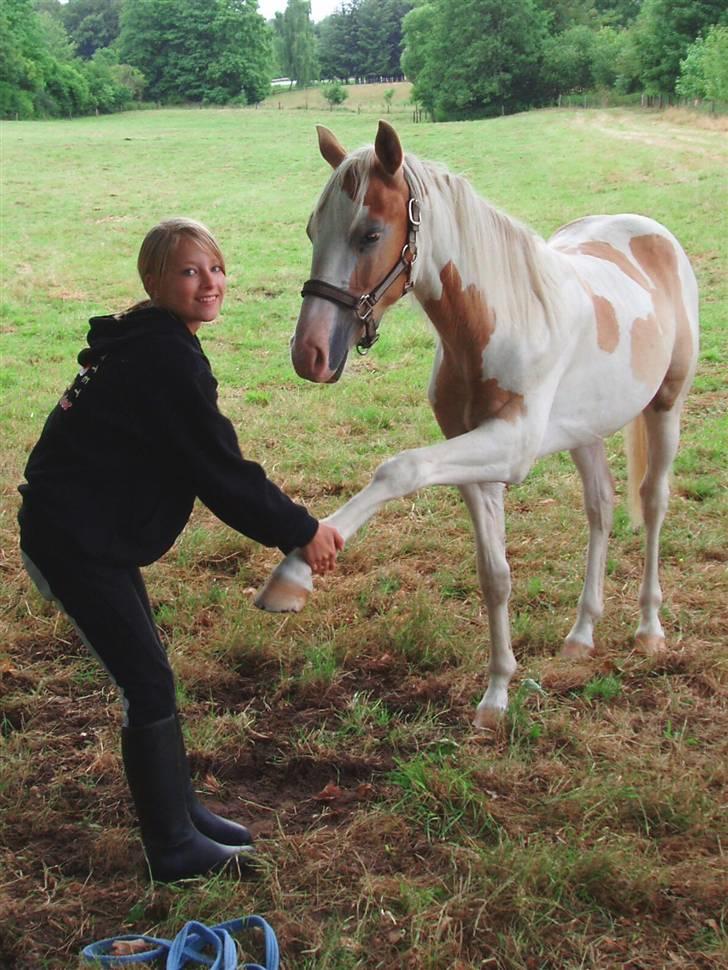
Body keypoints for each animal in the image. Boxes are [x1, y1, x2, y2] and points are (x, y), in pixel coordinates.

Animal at [258, 121, 700, 724]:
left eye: (370, 234)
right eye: (310, 231)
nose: (311, 355)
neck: (501, 321)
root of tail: (653, 234)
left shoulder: (508, 449)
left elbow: (399, 469)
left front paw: (293, 574)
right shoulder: (473, 457)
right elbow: (495, 576)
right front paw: (496, 694)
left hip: (666, 406)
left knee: (653, 503)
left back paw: (649, 628)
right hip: (584, 432)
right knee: (601, 508)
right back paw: (581, 634)